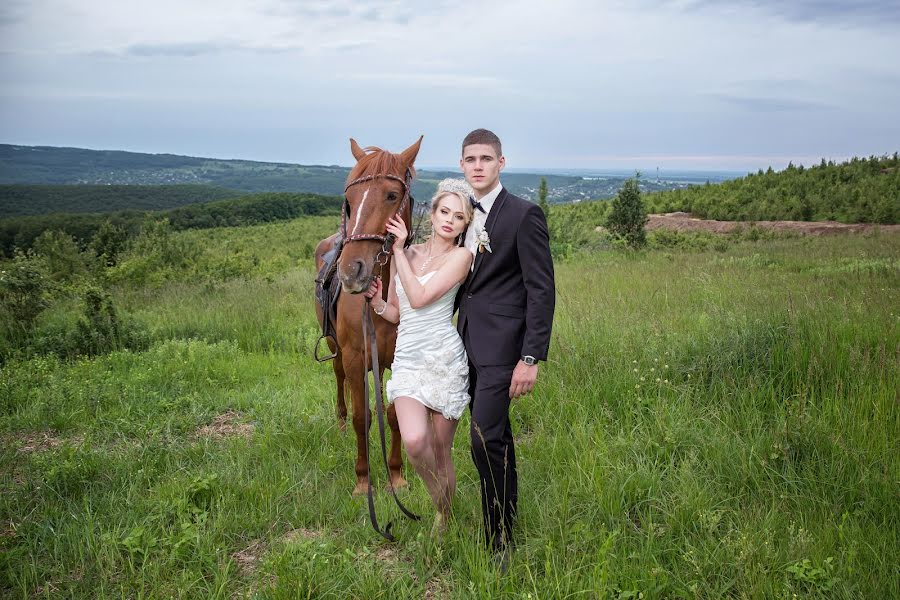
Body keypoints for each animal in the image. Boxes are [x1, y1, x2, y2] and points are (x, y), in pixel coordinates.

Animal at [312, 137, 422, 496]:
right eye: (349, 201)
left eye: (392, 195)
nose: (351, 271)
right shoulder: (355, 356)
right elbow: (363, 417)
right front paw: (363, 480)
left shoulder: (400, 359)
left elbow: (394, 414)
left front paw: (396, 475)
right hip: (335, 347)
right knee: (339, 379)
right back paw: (341, 423)